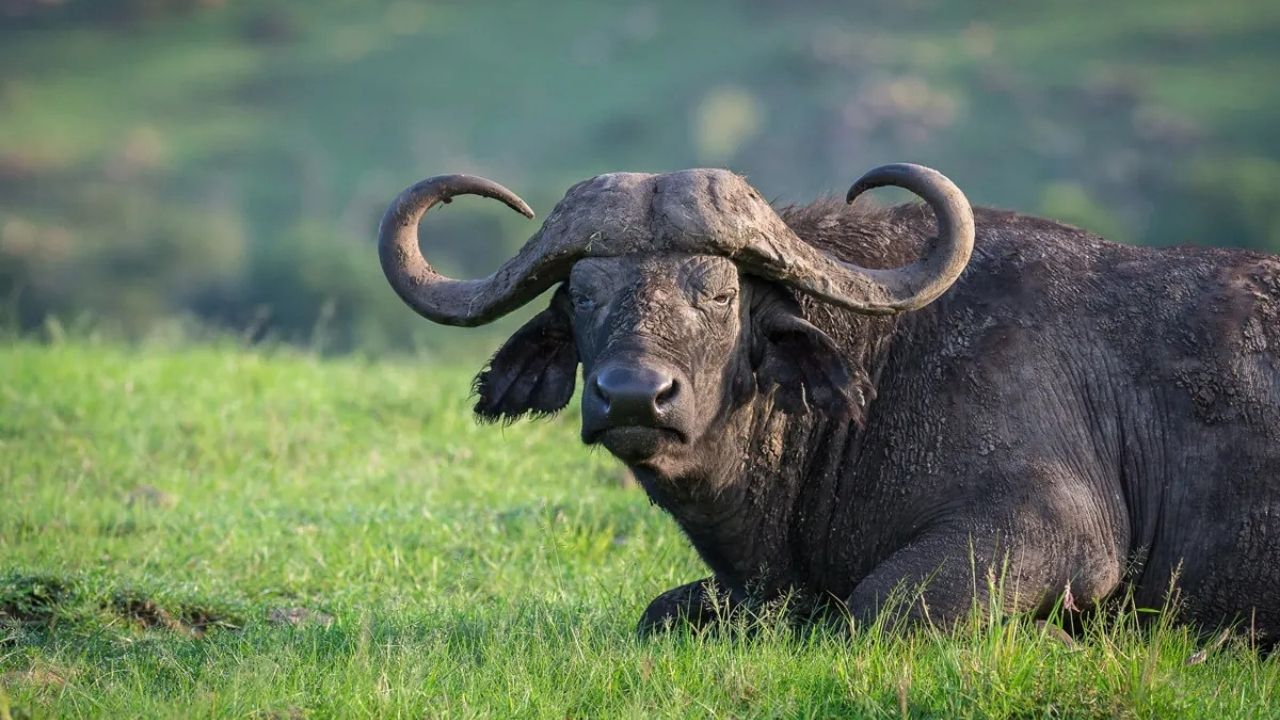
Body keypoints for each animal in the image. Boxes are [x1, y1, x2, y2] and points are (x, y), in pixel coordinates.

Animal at [377, 164, 1280, 642]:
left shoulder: (1053, 529)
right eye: (584, 295)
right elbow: (662, 611)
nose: (634, 394)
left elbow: (877, 607)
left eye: (720, 293)